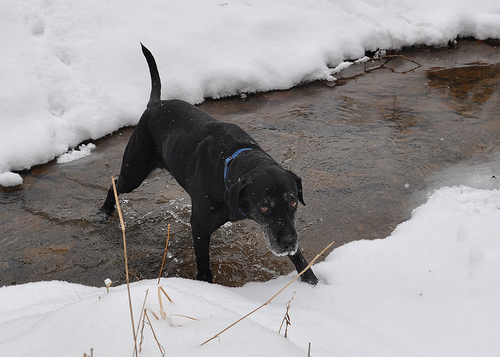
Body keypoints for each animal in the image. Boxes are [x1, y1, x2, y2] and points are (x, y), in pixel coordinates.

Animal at [99, 45, 318, 284]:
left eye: (293, 202)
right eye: (264, 206)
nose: (288, 243)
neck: (232, 164)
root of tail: (154, 104)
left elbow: (299, 258)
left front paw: (312, 281)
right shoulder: (200, 226)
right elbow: (204, 264)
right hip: (134, 171)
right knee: (115, 184)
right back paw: (104, 211)